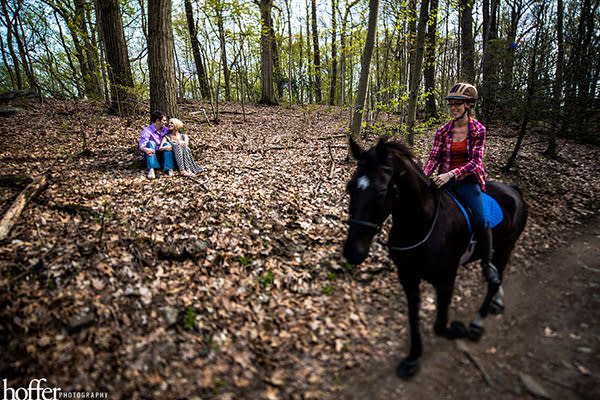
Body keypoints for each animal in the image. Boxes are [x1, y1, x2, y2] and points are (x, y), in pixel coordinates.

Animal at [344, 138, 528, 378]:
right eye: (350, 187)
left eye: (382, 190)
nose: (353, 252)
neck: (421, 224)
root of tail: (514, 191)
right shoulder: (408, 277)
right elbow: (413, 316)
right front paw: (413, 358)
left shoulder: (446, 279)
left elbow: (440, 325)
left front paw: (456, 329)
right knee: (496, 276)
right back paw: (496, 303)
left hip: (505, 248)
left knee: (494, 279)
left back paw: (477, 323)